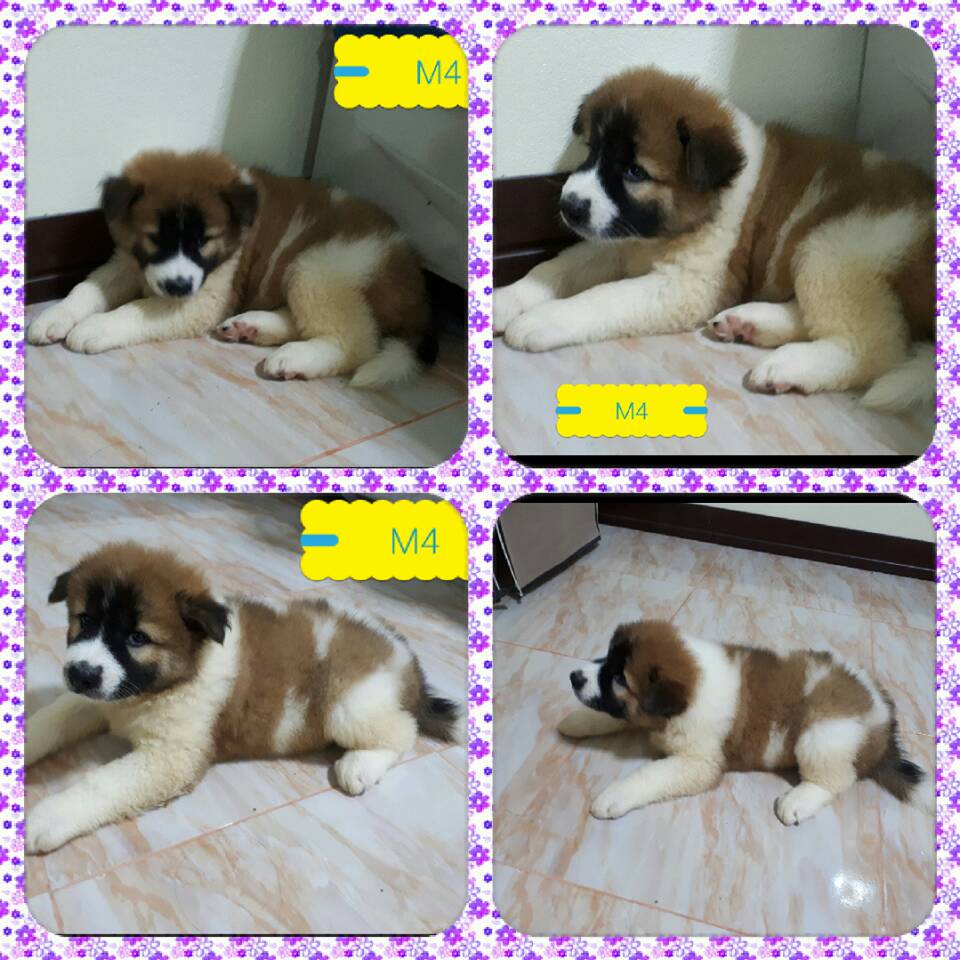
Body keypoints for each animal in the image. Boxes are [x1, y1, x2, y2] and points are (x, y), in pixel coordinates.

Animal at [25, 543, 463, 854]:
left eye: (137, 638)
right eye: (84, 621)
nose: (79, 673)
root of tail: (405, 658)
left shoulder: (170, 758)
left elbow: (102, 784)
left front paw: (46, 818)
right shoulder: (99, 698)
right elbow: (53, 718)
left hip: (348, 707)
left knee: (403, 731)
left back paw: (360, 766)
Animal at [27, 150, 437, 387]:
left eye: (205, 240)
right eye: (156, 239)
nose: (177, 286)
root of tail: (413, 273)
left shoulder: (203, 297)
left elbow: (138, 310)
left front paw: (95, 327)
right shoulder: (128, 262)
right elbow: (86, 289)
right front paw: (55, 316)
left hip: (319, 267)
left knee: (356, 342)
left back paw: (295, 358)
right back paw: (250, 327)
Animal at [494, 68, 934, 411]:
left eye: (635, 172)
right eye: (593, 151)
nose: (569, 205)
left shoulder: (690, 284)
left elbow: (603, 297)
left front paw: (543, 319)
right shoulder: (619, 241)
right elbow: (556, 267)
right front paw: (506, 300)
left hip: (833, 247)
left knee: (875, 348)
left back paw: (789, 365)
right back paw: (749, 323)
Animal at [559, 620, 932, 823]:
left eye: (619, 679)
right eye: (607, 659)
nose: (574, 677)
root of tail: (884, 718)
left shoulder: (699, 762)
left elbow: (649, 775)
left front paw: (613, 797)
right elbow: (614, 717)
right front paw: (576, 721)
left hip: (821, 735)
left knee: (837, 779)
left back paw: (797, 801)